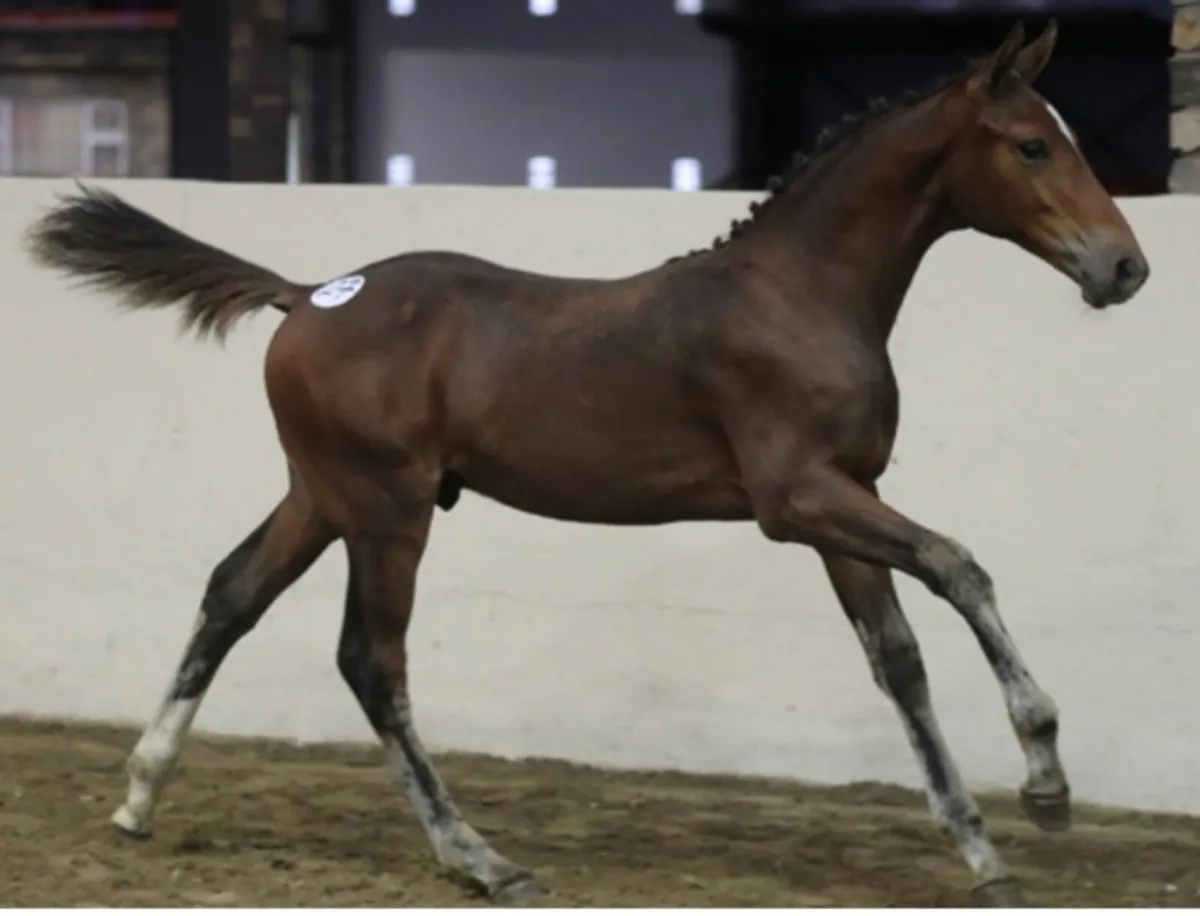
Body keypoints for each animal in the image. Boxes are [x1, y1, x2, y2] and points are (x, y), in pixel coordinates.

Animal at [25, 20, 1148, 907]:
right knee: (370, 661)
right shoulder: (798, 499)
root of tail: (307, 295)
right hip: (387, 509)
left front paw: (985, 854)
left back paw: (137, 798)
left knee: (232, 593)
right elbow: (961, 566)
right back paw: (479, 858)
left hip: (322, 493)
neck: (801, 294)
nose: (1125, 265)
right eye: (1033, 144)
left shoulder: (846, 500)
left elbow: (898, 659)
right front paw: (1045, 774)